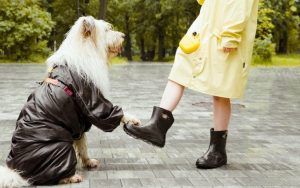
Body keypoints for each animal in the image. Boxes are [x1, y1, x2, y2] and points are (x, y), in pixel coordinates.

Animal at [0, 15, 141, 187]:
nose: (123, 36)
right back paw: (71, 176)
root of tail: (16, 172)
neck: (87, 50)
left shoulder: (79, 122)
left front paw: (88, 162)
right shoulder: (93, 102)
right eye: (107, 30)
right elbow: (111, 113)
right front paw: (133, 119)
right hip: (59, 147)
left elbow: (82, 143)